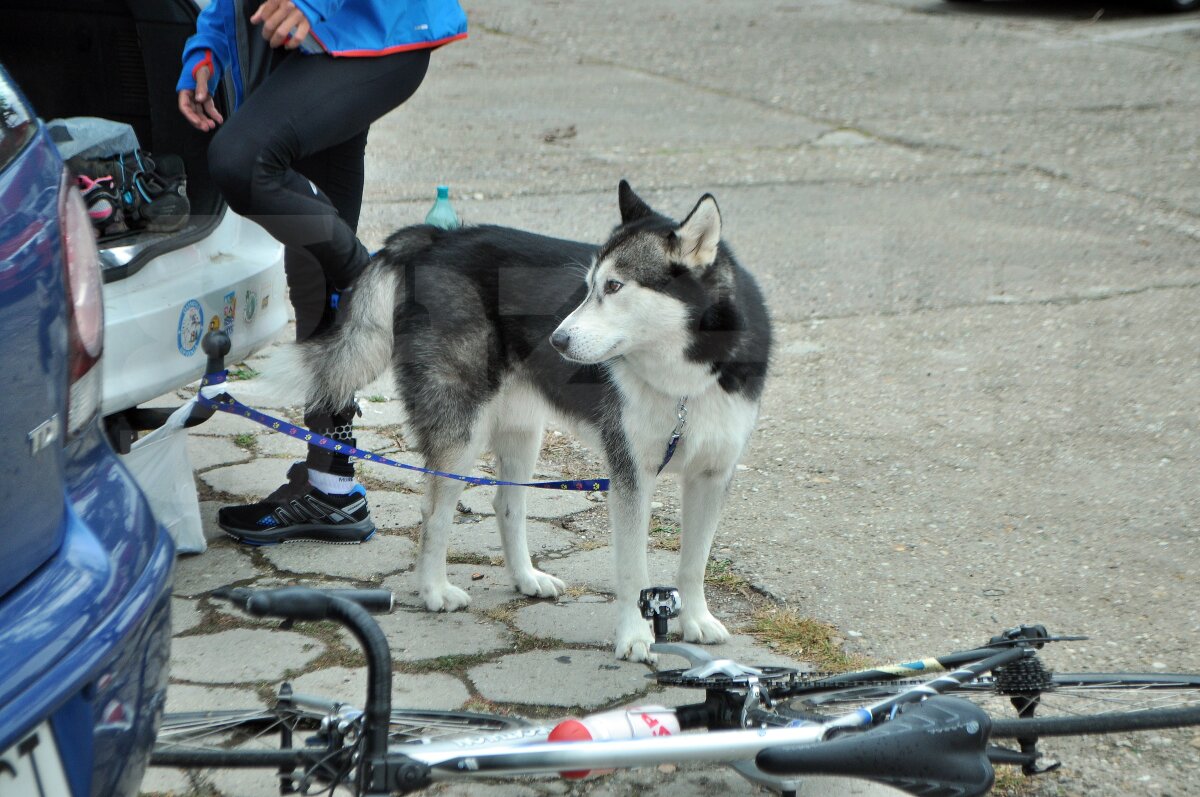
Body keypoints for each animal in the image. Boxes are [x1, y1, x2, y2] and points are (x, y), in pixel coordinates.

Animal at [296, 180, 772, 657]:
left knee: (507, 503)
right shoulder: (631, 474)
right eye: (588, 287)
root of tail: (439, 238)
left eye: (615, 286)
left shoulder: (712, 476)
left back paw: (525, 579)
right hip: (462, 432)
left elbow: (695, 563)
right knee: (434, 512)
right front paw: (635, 637)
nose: (556, 340)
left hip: (523, 430)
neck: (685, 383)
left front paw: (696, 620)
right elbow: (633, 568)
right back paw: (433, 591)